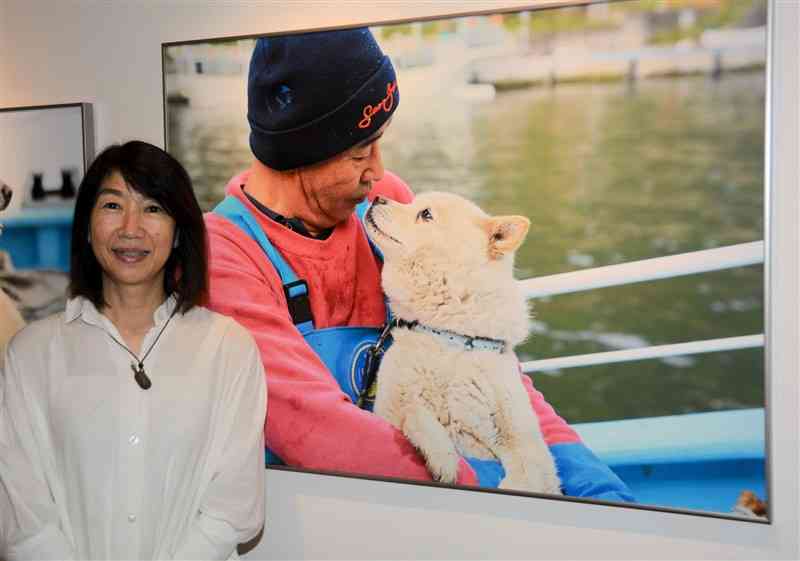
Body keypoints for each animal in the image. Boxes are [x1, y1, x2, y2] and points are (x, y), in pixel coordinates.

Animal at [366, 192, 560, 494]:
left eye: (425, 214)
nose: (377, 197)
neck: (450, 335)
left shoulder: (527, 443)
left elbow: (527, 474)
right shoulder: (391, 408)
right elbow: (418, 417)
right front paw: (444, 461)